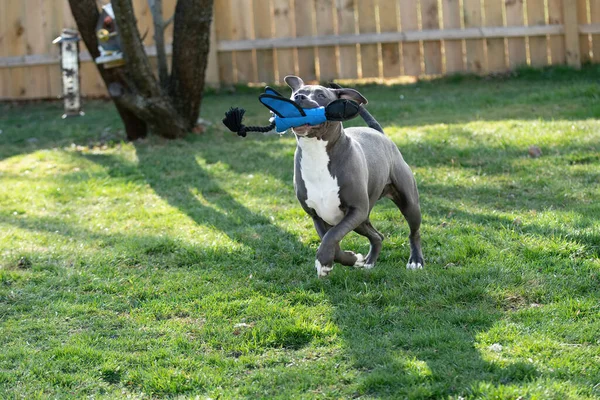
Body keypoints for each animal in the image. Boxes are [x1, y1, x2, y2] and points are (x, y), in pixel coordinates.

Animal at [284, 75, 422, 276]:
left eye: (321, 95)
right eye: (295, 94)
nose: (299, 97)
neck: (316, 151)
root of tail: (379, 133)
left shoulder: (356, 210)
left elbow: (332, 236)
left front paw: (324, 260)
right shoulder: (318, 216)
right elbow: (331, 240)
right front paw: (349, 259)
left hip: (408, 204)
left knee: (414, 233)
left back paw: (416, 261)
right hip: (361, 220)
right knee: (377, 236)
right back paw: (369, 262)